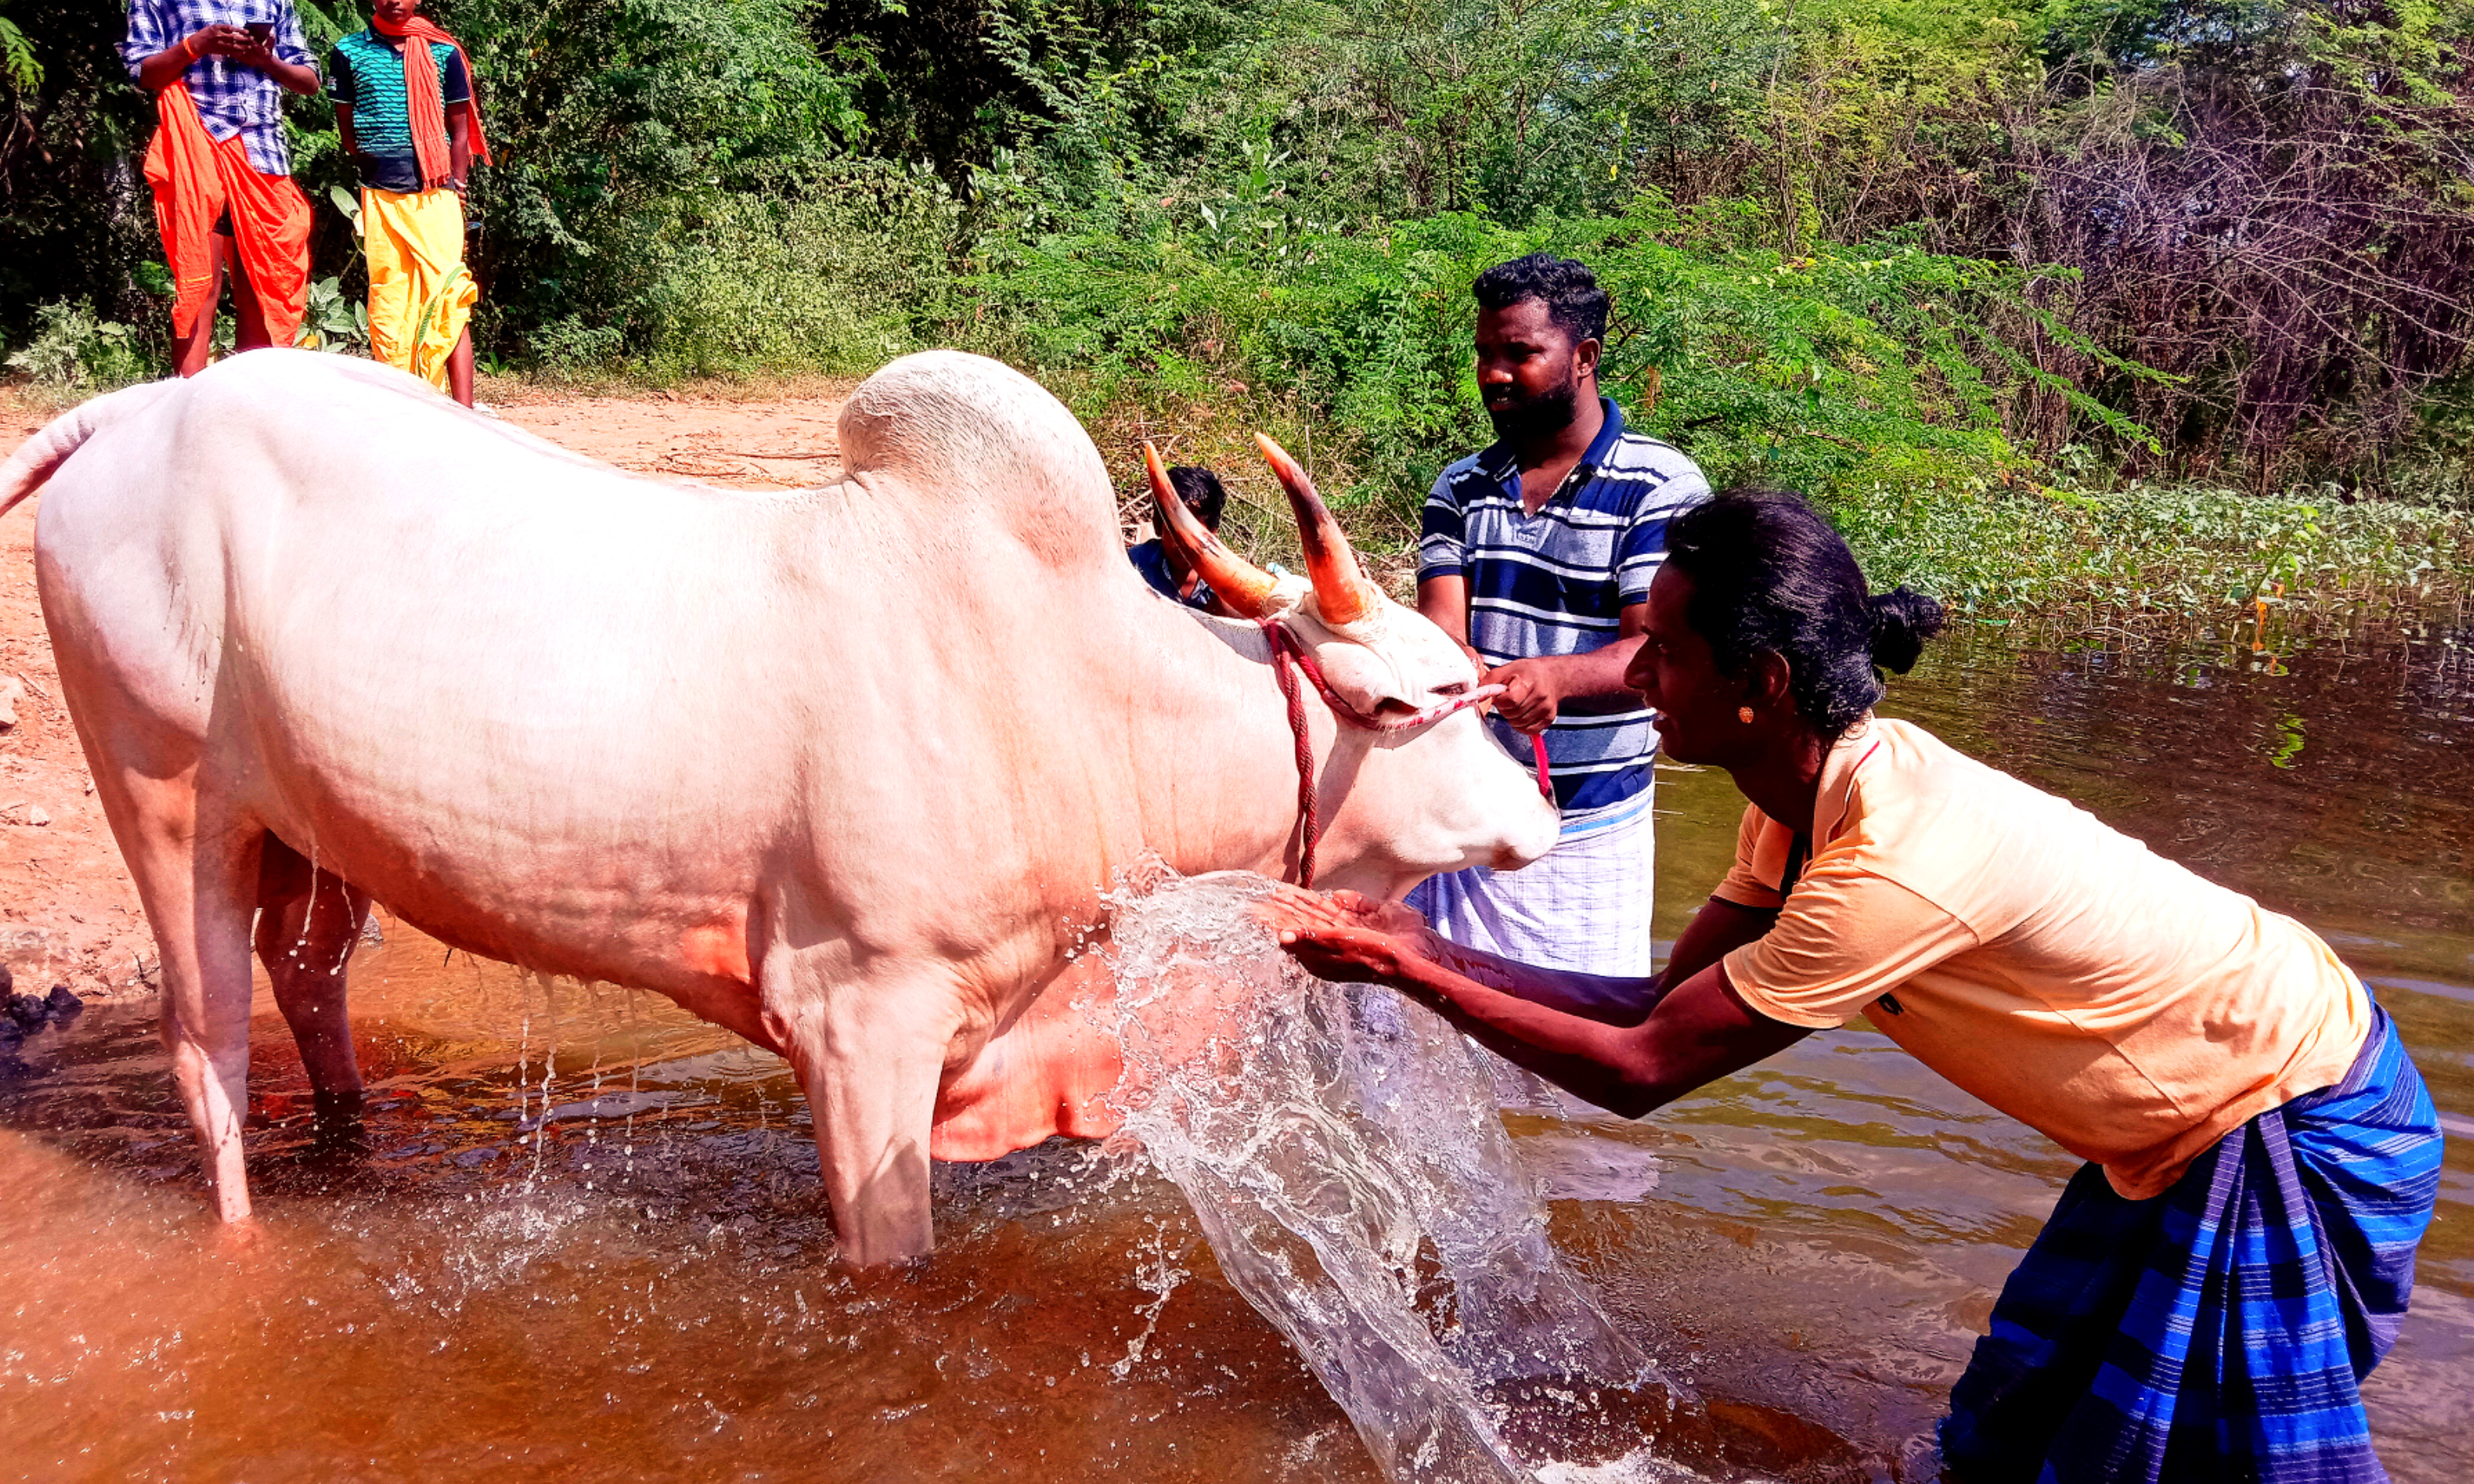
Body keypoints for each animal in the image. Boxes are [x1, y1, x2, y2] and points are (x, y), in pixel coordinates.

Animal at [0, 351, 1553, 1261]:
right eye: (1424, 696)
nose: (1540, 824)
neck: (1075, 692)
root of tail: (136, 411)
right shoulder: (861, 1016)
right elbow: (891, 1263)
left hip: (305, 835)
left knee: (305, 975)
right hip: (166, 798)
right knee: (206, 1043)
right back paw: (245, 1242)